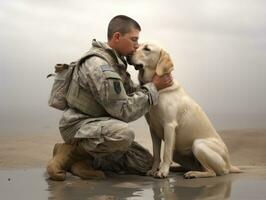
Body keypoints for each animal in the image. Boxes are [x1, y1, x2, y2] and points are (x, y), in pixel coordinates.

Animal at [128, 43, 241, 179]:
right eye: (137, 46)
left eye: (147, 49)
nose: (129, 54)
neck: (159, 89)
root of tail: (229, 164)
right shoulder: (153, 129)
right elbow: (156, 154)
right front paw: (153, 170)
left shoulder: (169, 126)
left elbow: (166, 153)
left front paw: (162, 172)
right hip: (178, 152)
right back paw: (179, 169)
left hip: (198, 144)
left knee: (212, 172)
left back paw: (192, 174)